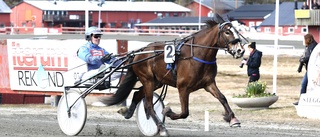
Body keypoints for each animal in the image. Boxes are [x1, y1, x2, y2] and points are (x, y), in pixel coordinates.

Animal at [102, 13, 245, 136]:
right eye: (227, 32)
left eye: (238, 31)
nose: (240, 50)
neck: (197, 55)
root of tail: (138, 53)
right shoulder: (183, 87)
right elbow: (184, 112)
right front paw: (167, 111)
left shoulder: (209, 83)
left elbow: (222, 98)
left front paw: (233, 119)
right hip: (147, 80)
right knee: (148, 105)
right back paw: (161, 128)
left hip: (156, 82)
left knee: (138, 94)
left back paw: (127, 112)